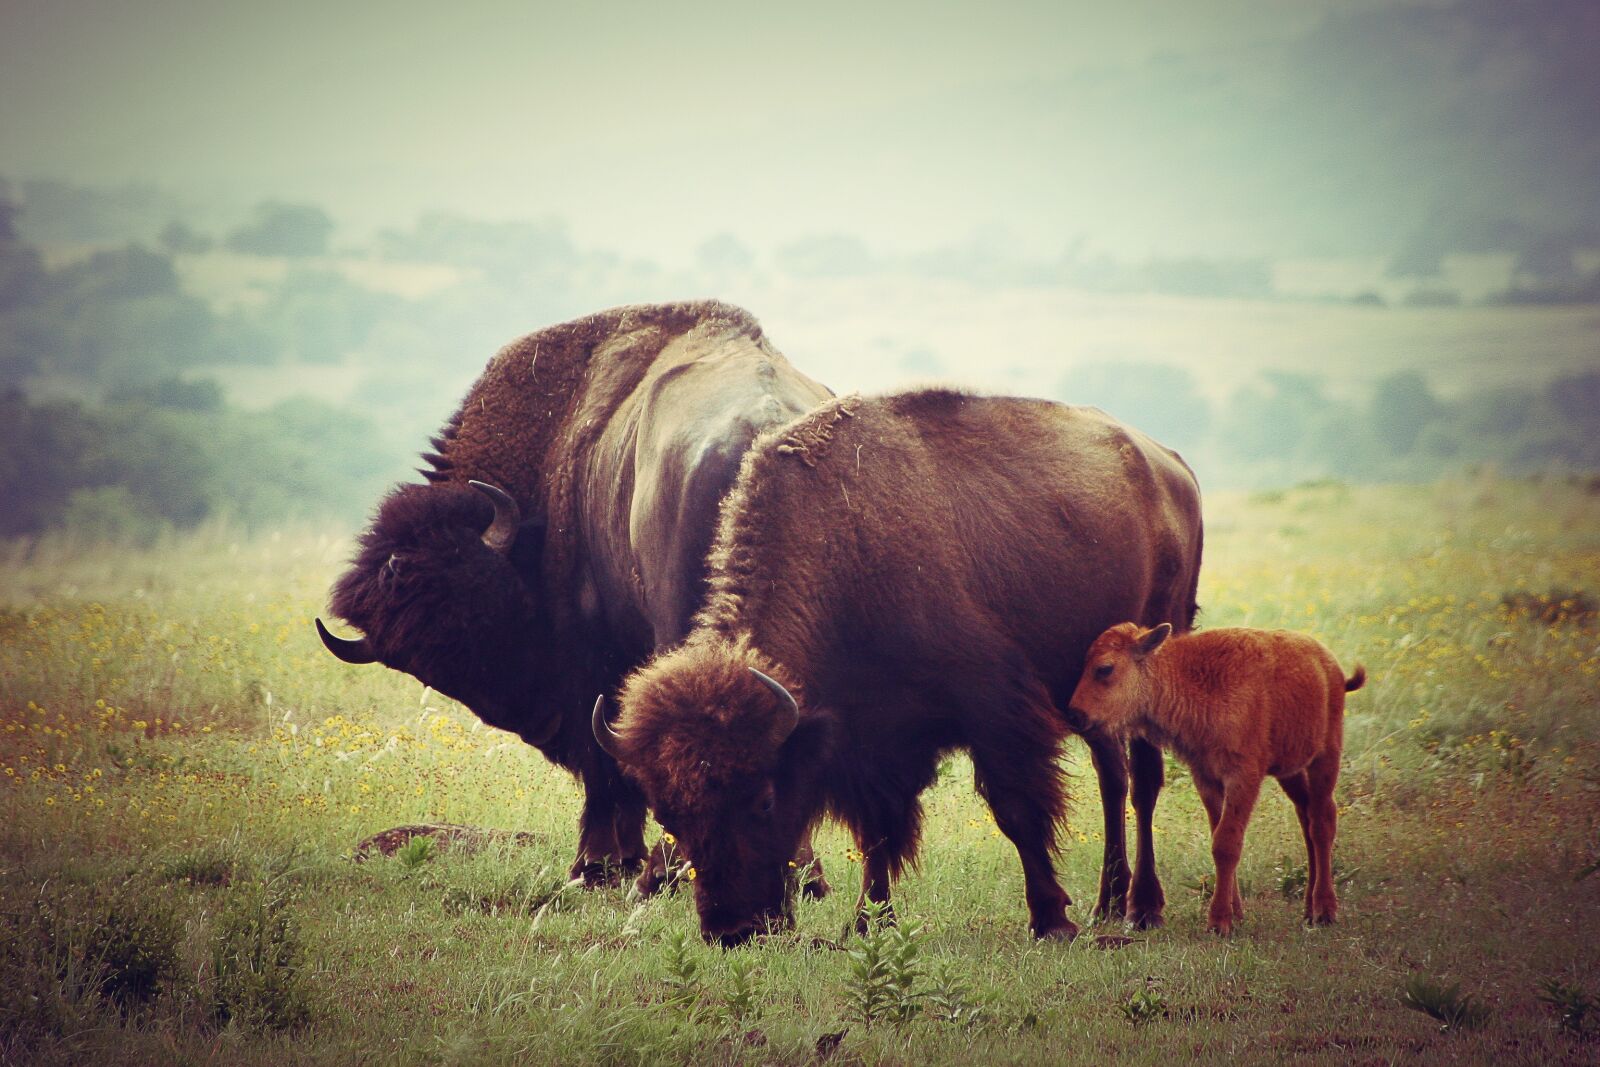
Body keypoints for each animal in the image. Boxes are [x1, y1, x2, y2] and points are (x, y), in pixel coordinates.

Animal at [316, 300, 834, 889]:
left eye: (487, 621)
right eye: (430, 666)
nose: (537, 719)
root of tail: (765, 428)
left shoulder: (593, 657)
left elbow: (605, 757)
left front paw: (595, 864)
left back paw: (670, 870)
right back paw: (798, 872)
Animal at [594, 389, 1204, 945]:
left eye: (763, 797)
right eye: (668, 815)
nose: (732, 929)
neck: (845, 549)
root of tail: (1172, 467)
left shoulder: (993, 708)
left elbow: (1016, 810)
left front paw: (1051, 920)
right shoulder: (872, 742)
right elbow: (879, 833)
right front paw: (870, 922)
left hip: (1155, 655)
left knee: (1144, 780)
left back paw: (1142, 909)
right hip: (1091, 697)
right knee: (1112, 775)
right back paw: (1109, 903)